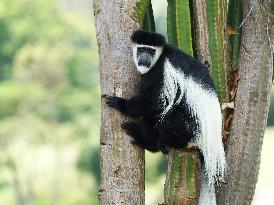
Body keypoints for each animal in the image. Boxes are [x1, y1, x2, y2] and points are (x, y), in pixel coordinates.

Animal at [104, 29, 226, 204]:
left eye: (150, 51)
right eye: (141, 49)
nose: (144, 58)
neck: (160, 58)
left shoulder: (160, 73)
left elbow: (155, 103)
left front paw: (121, 104)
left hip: (188, 129)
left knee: (166, 116)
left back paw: (148, 142)